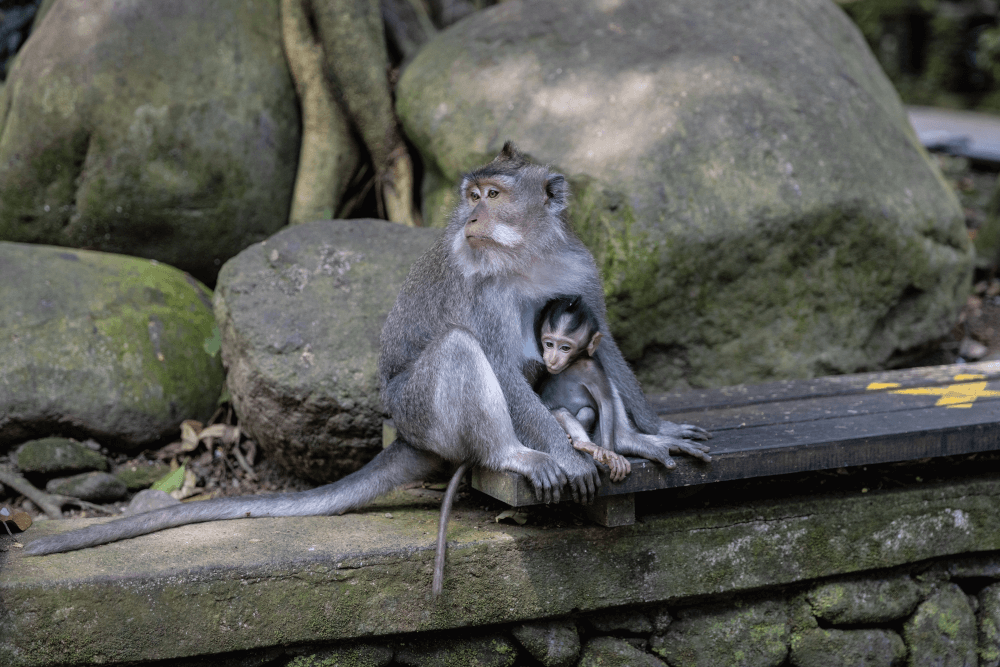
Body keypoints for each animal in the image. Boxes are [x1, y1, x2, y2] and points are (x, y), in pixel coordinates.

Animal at [23, 144, 712, 560]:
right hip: (419, 410)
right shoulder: (478, 286)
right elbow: (490, 352)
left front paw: (650, 433)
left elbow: (605, 342)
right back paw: (513, 453)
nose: (470, 219)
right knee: (459, 350)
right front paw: (565, 457)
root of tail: (405, 433)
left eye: (491, 196)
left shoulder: (577, 264)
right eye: (472, 196)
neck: (526, 255)